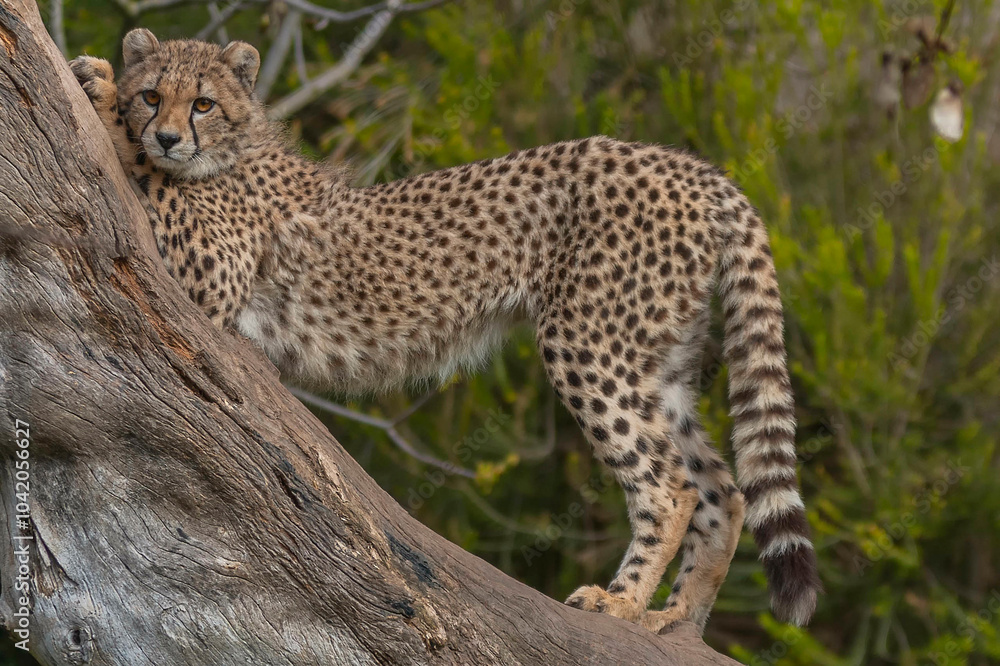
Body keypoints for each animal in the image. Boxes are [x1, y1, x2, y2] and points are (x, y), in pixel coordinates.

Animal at [69, 28, 820, 633]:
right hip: (657, 360)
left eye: (201, 104)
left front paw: (98, 89)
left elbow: (149, 182)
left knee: (669, 484)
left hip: (589, 344)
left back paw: (624, 604)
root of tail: (694, 168)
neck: (234, 146)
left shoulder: (212, 278)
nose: (167, 135)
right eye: (153, 96)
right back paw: (678, 617)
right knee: (723, 486)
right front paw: (108, 93)